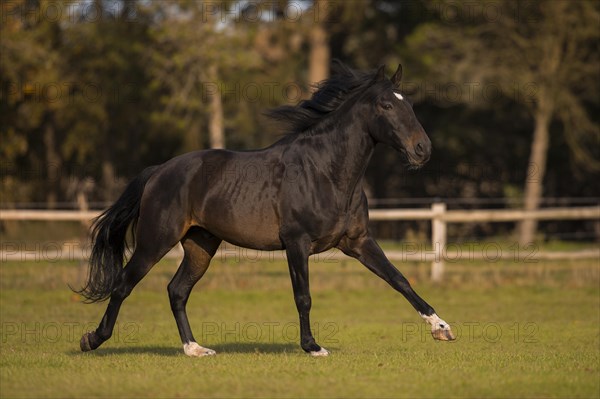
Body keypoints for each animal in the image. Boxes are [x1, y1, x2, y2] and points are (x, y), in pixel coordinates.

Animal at [78, 61, 454, 358]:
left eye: (408, 104)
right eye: (385, 105)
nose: (423, 149)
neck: (325, 172)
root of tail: (158, 171)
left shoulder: (358, 242)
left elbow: (399, 279)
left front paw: (441, 327)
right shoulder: (297, 244)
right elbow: (303, 296)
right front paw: (313, 347)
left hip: (201, 245)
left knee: (177, 291)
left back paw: (195, 349)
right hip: (155, 241)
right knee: (124, 284)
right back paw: (92, 340)